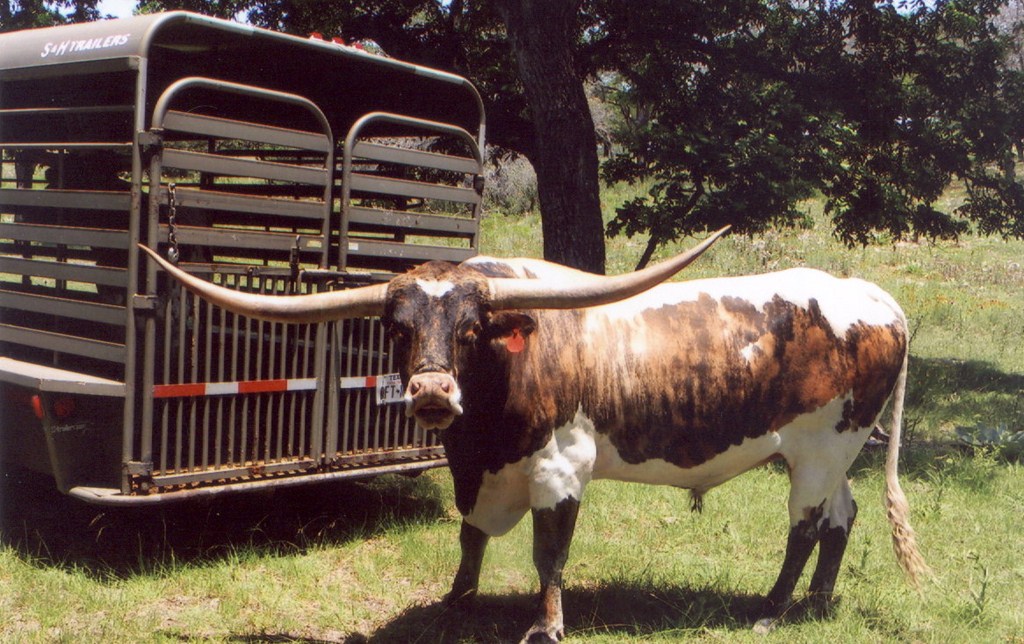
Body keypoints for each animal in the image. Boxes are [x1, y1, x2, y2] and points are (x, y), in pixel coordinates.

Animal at [139, 228, 928, 642]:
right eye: (398, 329)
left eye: (471, 329)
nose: (432, 394)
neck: (483, 436)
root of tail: (876, 298)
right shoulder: (478, 473)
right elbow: (470, 536)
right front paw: (456, 602)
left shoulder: (559, 470)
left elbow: (549, 554)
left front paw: (545, 626)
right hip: (831, 453)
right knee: (842, 518)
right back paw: (816, 605)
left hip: (819, 450)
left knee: (806, 525)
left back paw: (770, 609)